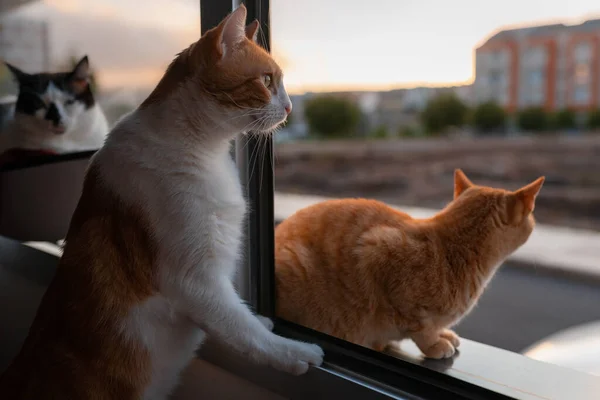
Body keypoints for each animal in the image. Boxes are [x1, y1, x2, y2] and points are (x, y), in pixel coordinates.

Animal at [0, 6, 324, 400]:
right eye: (266, 80)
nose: (291, 107)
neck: (202, 147)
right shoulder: (195, 280)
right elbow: (242, 330)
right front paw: (291, 351)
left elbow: (238, 316)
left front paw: (260, 319)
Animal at [276, 169, 544, 360]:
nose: (535, 221)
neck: (452, 250)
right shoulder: (377, 250)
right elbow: (420, 327)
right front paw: (435, 344)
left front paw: (443, 333)